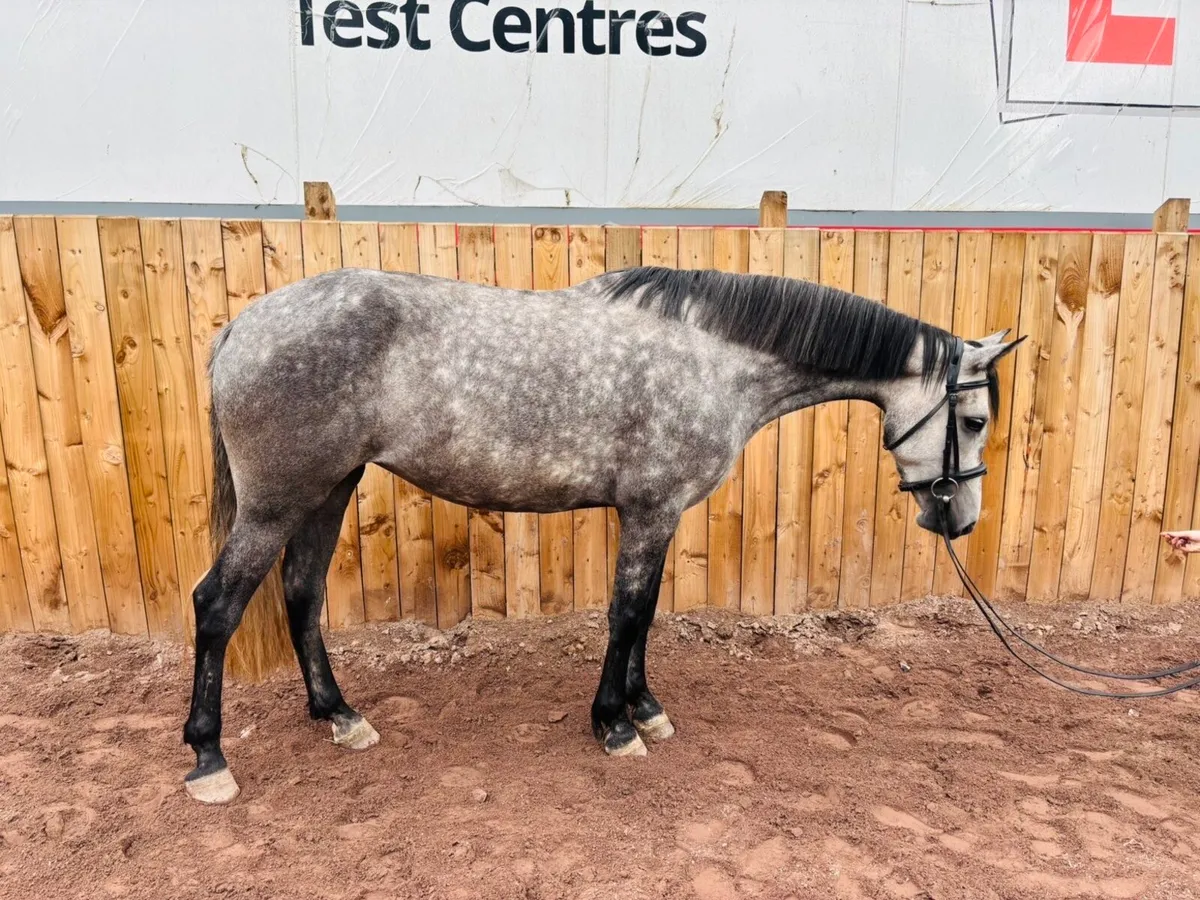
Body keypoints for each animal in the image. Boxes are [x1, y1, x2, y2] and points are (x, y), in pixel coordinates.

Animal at [182, 261, 1023, 804]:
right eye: (976, 420)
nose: (959, 518)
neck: (714, 359)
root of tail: (240, 328)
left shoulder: (660, 512)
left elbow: (644, 615)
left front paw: (646, 708)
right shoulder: (649, 509)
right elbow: (626, 614)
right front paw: (615, 726)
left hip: (329, 490)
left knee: (301, 595)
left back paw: (340, 716)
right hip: (277, 503)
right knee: (217, 606)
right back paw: (208, 758)